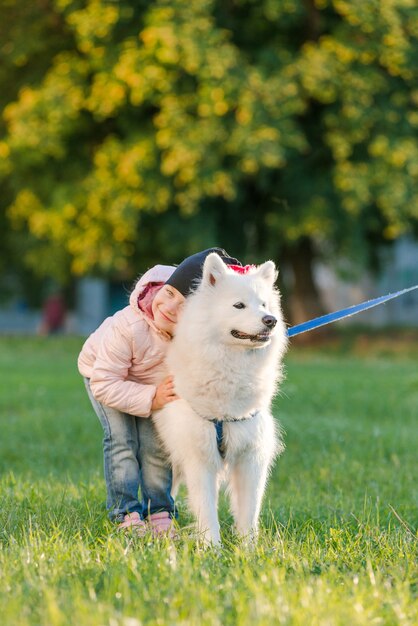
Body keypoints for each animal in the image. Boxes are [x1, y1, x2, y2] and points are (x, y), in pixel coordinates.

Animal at [153, 251, 288, 544]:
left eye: (264, 304)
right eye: (239, 305)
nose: (270, 320)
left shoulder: (251, 457)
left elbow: (249, 512)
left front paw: (249, 549)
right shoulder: (199, 457)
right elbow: (207, 511)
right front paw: (212, 548)